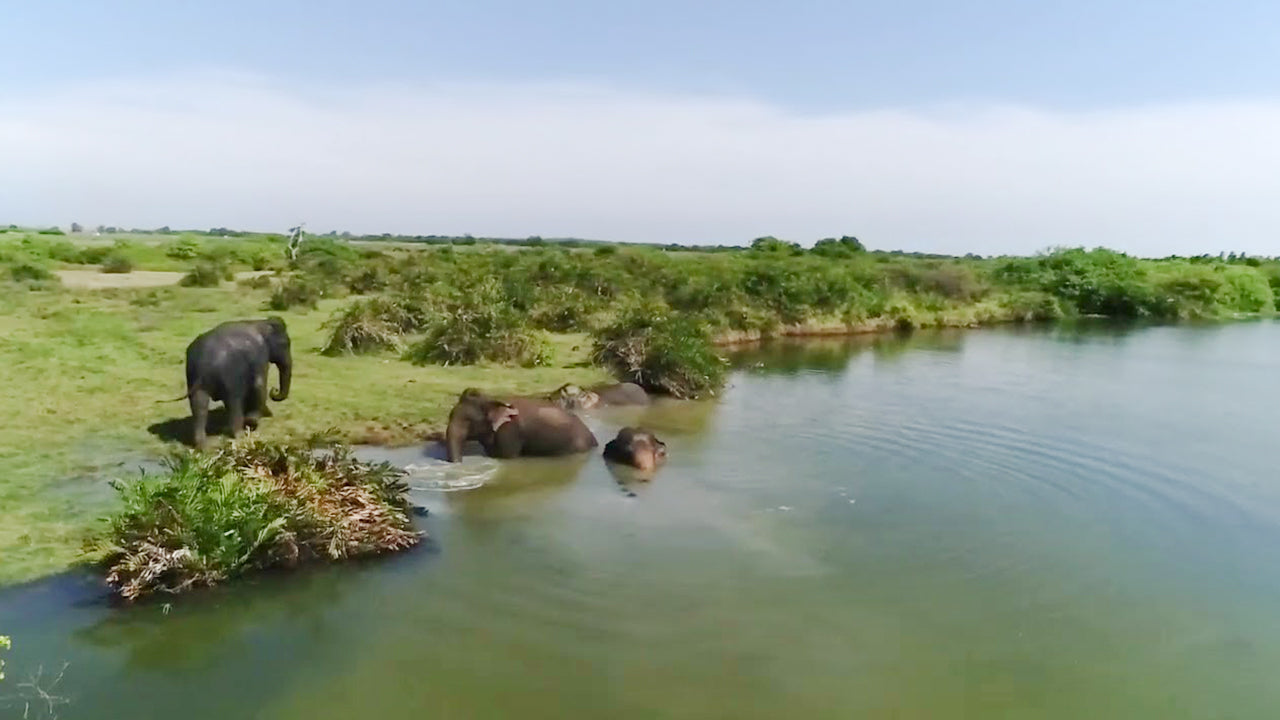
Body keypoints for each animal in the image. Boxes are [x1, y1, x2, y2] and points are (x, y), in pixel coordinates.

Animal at [178, 317, 292, 449]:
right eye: (286, 343)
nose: (275, 390)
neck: (260, 322)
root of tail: (205, 362)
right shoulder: (260, 355)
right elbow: (259, 384)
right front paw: (251, 421)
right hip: (229, 376)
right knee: (234, 401)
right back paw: (239, 435)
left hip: (193, 379)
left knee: (199, 406)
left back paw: (203, 446)